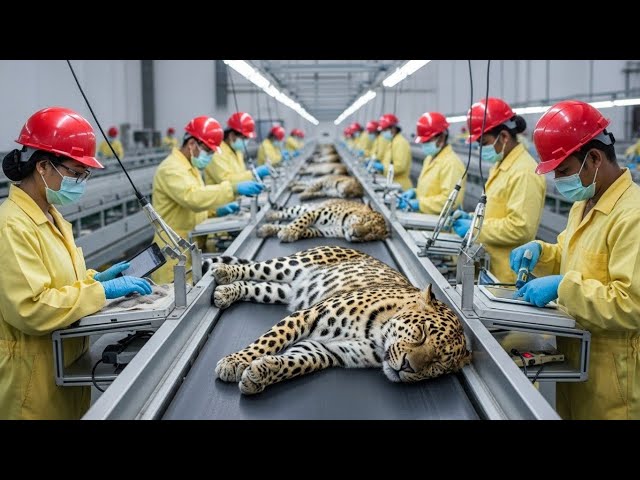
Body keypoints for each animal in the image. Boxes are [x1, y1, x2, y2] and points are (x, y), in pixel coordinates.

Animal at [210, 246, 471, 395]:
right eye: (421, 334)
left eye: (437, 364)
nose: (408, 367)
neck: (377, 338)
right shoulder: (308, 315)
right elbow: (269, 341)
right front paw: (235, 362)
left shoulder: (325, 349)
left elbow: (295, 363)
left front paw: (260, 374)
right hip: (292, 265)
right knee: (256, 267)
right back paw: (223, 272)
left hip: (285, 290)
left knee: (257, 286)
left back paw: (227, 291)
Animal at [257, 199, 389, 243]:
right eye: (365, 220)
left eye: (371, 235)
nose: (355, 234)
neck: (341, 227)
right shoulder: (317, 212)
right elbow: (302, 220)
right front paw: (289, 232)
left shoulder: (320, 231)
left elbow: (304, 231)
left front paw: (283, 231)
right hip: (304, 208)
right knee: (287, 212)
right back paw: (270, 215)